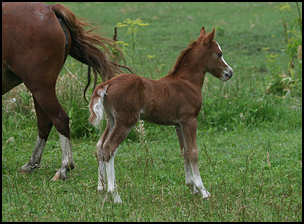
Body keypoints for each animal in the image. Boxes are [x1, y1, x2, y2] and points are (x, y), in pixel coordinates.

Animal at [2, 2, 121, 180]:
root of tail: (50, 9)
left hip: (40, 87)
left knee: (60, 119)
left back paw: (64, 167)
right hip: (38, 89)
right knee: (45, 122)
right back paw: (32, 164)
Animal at [89, 26, 234, 203]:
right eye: (219, 54)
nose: (229, 73)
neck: (187, 82)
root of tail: (108, 83)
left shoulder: (178, 124)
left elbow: (184, 151)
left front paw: (191, 187)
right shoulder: (190, 120)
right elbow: (193, 152)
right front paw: (203, 191)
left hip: (112, 120)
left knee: (100, 146)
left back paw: (101, 188)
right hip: (125, 121)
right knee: (109, 148)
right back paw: (114, 195)